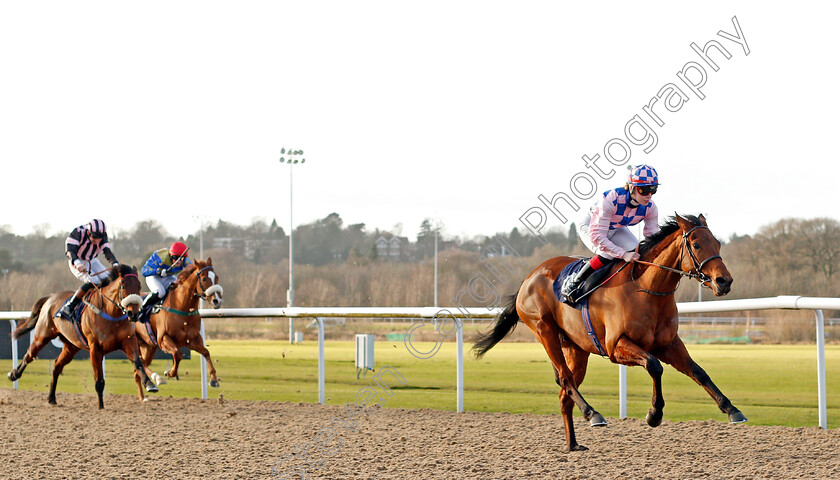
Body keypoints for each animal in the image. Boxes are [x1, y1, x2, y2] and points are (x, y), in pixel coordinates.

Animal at [7, 264, 158, 406]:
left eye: (139, 285)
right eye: (123, 285)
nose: (134, 314)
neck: (111, 314)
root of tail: (50, 297)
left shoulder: (128, 341)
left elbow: (138, 362)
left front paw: (150, 384)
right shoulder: (95, 348)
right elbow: (99, 380)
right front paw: (101, 406)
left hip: (71, 346)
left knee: (56, 366)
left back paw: (51, 398)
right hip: (42, 335)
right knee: (29, 355)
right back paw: (13, 374)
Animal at [136, 256, 225, 388]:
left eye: (216, 277)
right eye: (204, 278)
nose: (217, 301)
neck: (181, 306)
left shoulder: (191, 339)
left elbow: (206, 352)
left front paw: (214, 379)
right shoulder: (163, 339)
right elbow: (177, 354)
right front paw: (170, 372)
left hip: (148, 345)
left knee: (141, 364)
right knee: (140, 361)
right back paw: (157, 378)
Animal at [476, 216, 744, 452]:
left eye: (717, 243)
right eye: (696, 244)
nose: (724, 281)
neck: (646, 289)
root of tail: (529, 278)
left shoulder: (668, 344)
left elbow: (699, 372)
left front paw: (732, 409)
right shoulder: (616, 346)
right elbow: (654, 366)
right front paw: (654, 414)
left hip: (576, 348)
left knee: (565, 393)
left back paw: (572, 444)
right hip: (545, 330)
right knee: (565, 378)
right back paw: (593, 414)